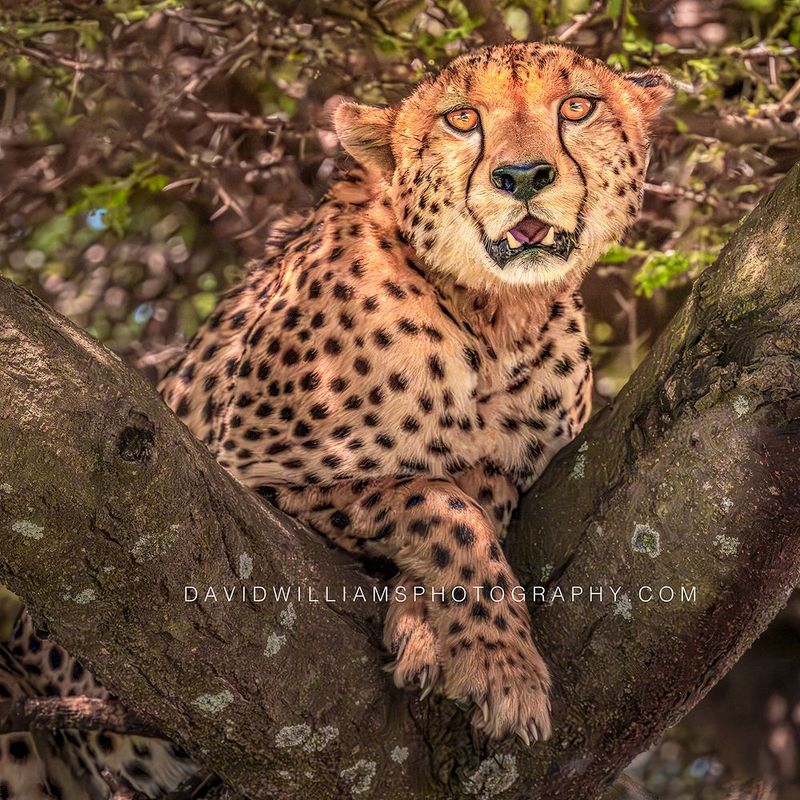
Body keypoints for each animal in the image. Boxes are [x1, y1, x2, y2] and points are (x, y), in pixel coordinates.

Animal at [0, 41, 671, 796]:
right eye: (463, 118)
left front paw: (425, 623)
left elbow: (480, 488)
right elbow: (436, 499)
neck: (497, 318)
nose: (523, 176)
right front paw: (503, 669)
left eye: (577, 106)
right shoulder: (241, 484)